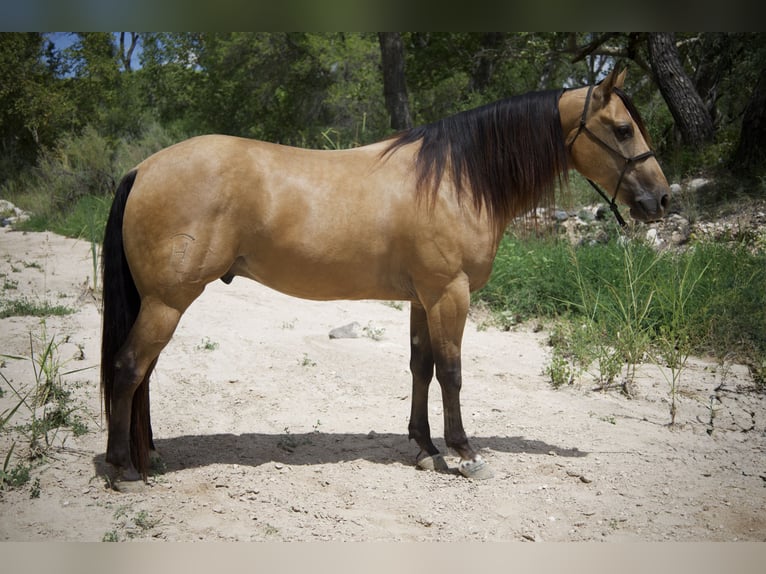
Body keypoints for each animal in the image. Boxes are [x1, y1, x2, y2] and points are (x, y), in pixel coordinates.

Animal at [101, 68, 669, 484]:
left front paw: (424, 447)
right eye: (623, 129)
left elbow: (421, 368)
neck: (456, 179)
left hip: (160, 303)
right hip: (167, 302)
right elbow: (452, 372)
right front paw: (465, 453)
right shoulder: (450, 294)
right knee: (128, 369)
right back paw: (124, 468)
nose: (662, 200)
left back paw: (148, 456)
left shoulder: (423, 298)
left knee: (142, 373)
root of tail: (144, 168)